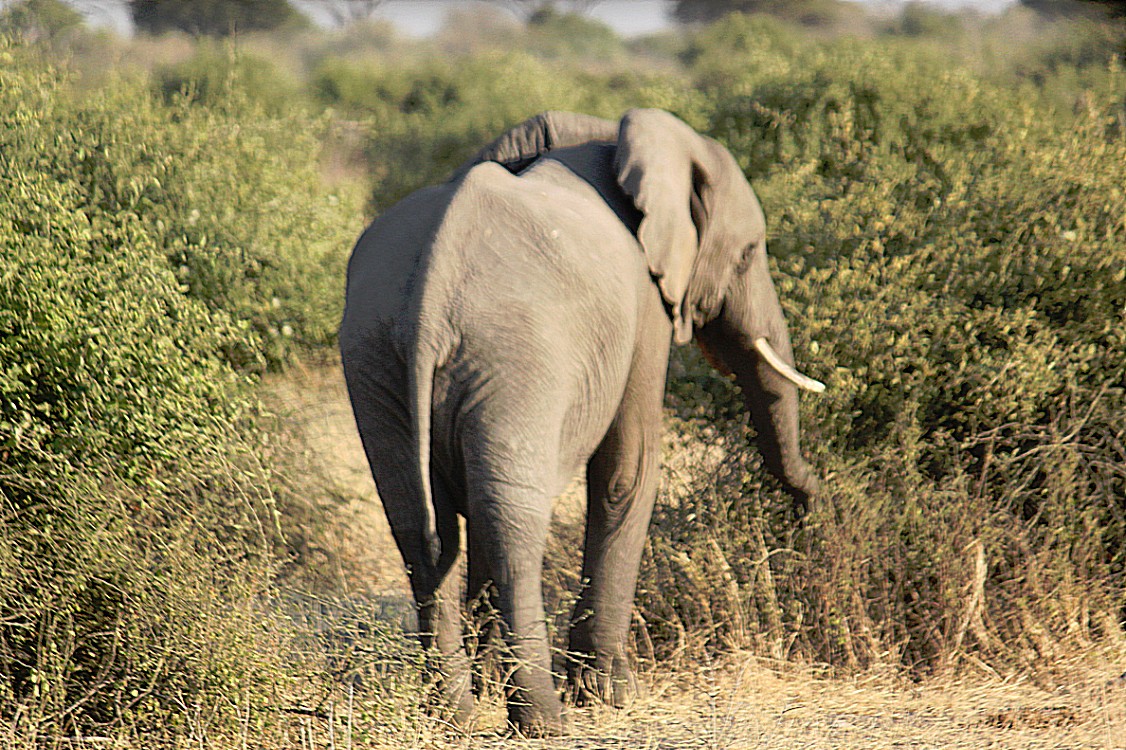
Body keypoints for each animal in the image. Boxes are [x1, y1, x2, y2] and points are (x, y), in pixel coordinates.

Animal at [337, 108, 824, 734]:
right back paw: (543, 721)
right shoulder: (645, 307)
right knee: (511, 522)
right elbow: (627, 473)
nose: (811, 512)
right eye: (748, 252)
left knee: (421, 524)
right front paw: (612, 696)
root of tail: (429, 296)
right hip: (517, 359)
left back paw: (455, 715)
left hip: (377, 358)